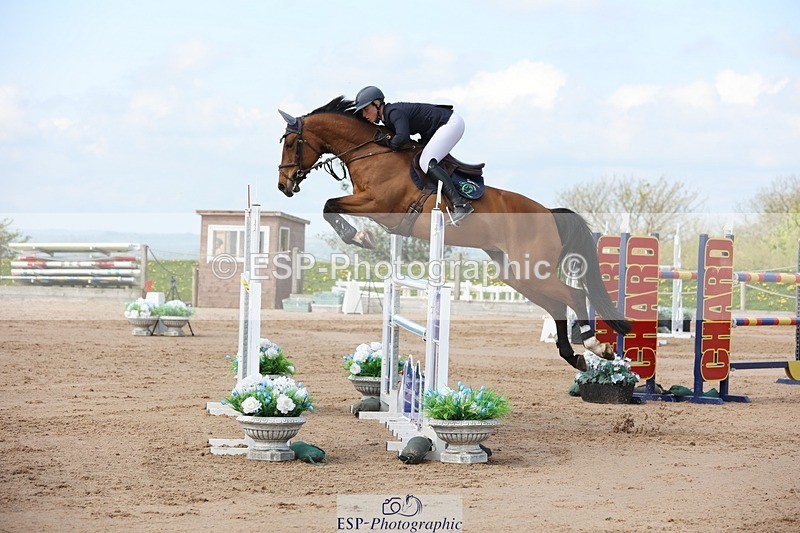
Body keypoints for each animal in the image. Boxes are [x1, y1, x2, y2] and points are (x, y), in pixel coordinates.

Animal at [276, 96, 631, 371]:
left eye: (291, 144)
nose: (283, 185)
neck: (373, 152)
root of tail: (548, 213)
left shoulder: (378, 204)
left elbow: (329, 205)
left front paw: (359, 237)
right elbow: (330, 205)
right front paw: (360, 237)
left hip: (534, 270)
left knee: (574, 296)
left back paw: (595, 347)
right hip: (519, 274)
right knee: (557, 305)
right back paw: (574, 357)